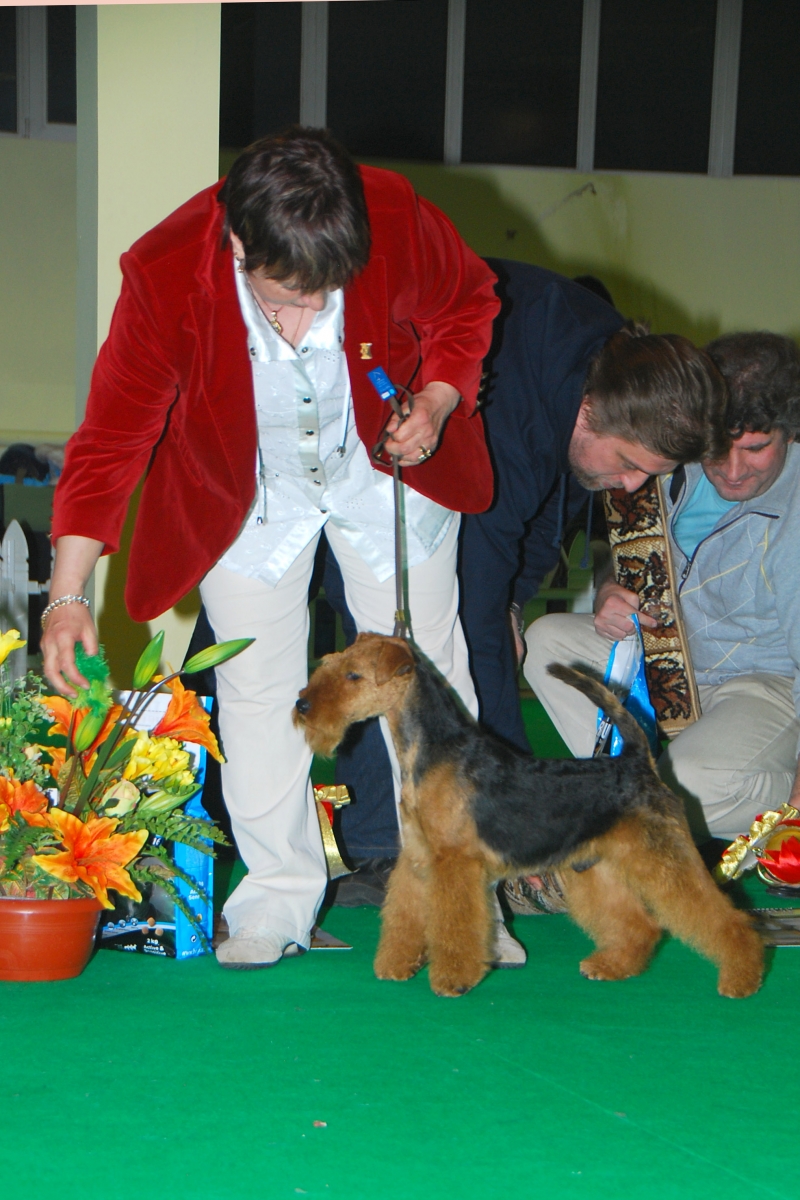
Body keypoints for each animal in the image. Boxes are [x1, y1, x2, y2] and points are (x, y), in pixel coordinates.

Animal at [293, 633, 762, 998]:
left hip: (664, 855)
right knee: (640, 924)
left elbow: (454, 923)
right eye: (330, 663)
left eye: (354, 676)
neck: (433, 751)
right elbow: (405, 914)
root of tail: (637, 759)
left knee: (726, 918)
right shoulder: (417, 857)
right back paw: (612, 966)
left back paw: (741, 978)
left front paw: (452, 979)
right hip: (596, 868)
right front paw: (396, 964)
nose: (302, 705)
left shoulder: (454, 862)